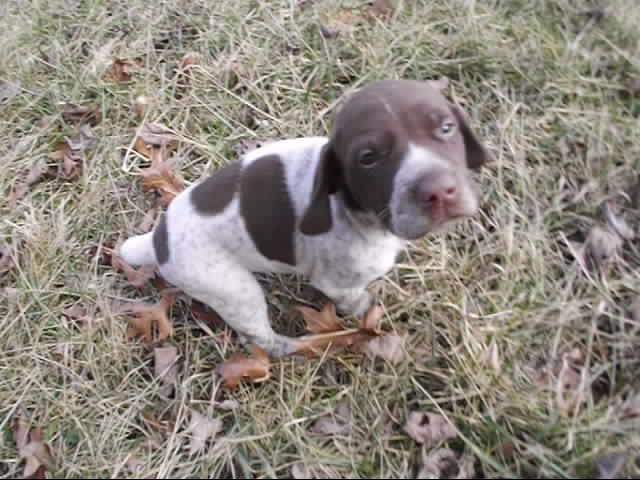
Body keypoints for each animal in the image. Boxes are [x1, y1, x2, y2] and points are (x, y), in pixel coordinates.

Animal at [119, 78, 490, 356]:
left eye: (446, 128)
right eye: (368, 158)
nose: (439, 192)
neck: (356, 209)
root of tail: (159, 240)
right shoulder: (337, 283)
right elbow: (356, 300)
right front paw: (368, 310)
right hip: (233, 290)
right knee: (262, 338)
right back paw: (299, 347)